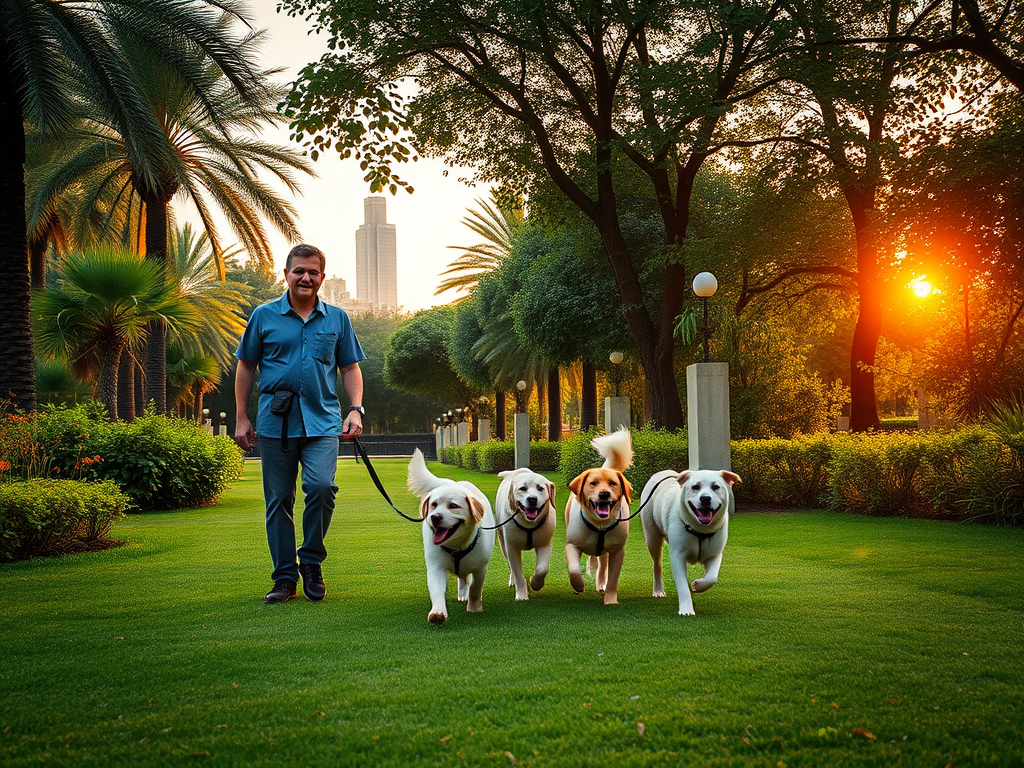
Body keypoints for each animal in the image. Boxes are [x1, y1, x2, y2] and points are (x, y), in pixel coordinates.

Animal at [405, 450, 493, 626]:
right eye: (433, 504)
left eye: (453, 506)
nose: (435, 517)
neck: (457, 546)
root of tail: (454, 484)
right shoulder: (436, 567)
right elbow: (437, 591)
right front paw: (438, 612)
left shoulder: (480, 568)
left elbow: (475, 588)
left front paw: (474, 606)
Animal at [493, 468, 557, 602]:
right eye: (523, 488)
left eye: (540, 488)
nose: (532, 499)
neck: (529, 525)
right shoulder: (511, 547)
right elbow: (517, 572)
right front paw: (522, 594)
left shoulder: (544, 544)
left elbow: (542, 569)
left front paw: (536, 583)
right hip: (502, 543)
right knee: (510, 564)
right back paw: (512, 580)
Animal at [561, 430, 630, 606]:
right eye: (593, 483)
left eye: (613, 483)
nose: (604, 493)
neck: (599, 525)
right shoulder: (572, 545)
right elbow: (574, 569)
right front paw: (578, 585)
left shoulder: (618, 551)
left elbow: (613, 579)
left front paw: (610, 600)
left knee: (603, 562)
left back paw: (600, 583)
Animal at [634, 466, 741, 618]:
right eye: (695, 487)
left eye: (715, 487)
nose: (705, 498)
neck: (700, 529)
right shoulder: (677, 556)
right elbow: (682, 584)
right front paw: (686, 609)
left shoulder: (714, 554)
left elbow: (711, 578)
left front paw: (697, 585)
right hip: (652, 536)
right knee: (657, 564)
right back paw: (658, 590)